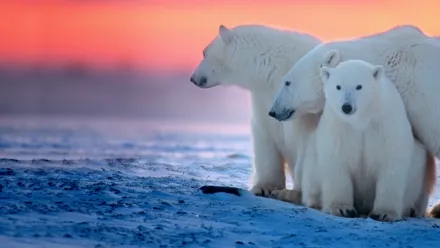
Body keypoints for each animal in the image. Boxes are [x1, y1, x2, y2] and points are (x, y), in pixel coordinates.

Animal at [189, 23, 320, 196]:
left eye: (204, 53)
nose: (192, 78)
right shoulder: (264, 96)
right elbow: (265, 134)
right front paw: (265, 187)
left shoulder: (303, 103)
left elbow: (306, 142)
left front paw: (291, 193)